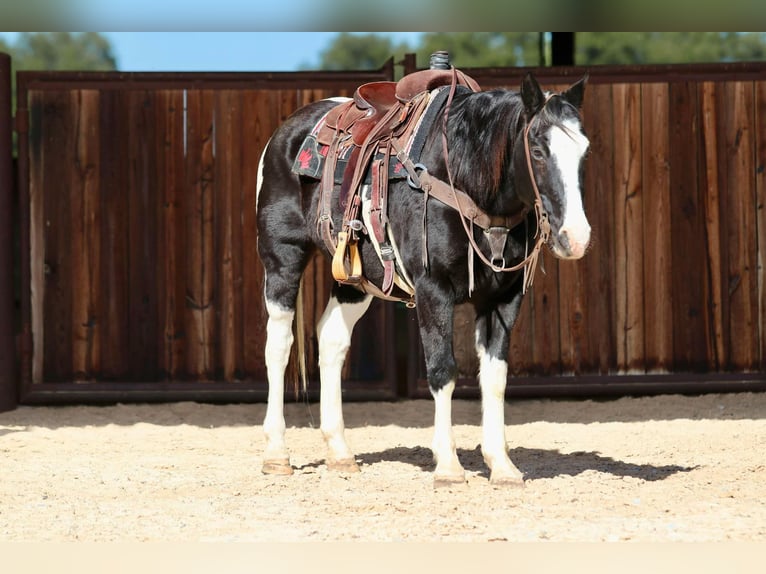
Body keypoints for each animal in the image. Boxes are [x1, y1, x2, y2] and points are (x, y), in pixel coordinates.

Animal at [255, 67, 590, 488]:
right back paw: (276, 453)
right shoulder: (434, 290)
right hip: (282, 260)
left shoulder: (503, 298)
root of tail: (285, 134)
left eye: (584, 152)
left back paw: (340, 452)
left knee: (331, 339)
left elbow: (495, 377)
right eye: (538, 150)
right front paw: (447, 465)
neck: (463, 176)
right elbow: (442, 370)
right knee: (278, 346)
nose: (575, 237)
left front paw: (501, 464)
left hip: (354, 279)